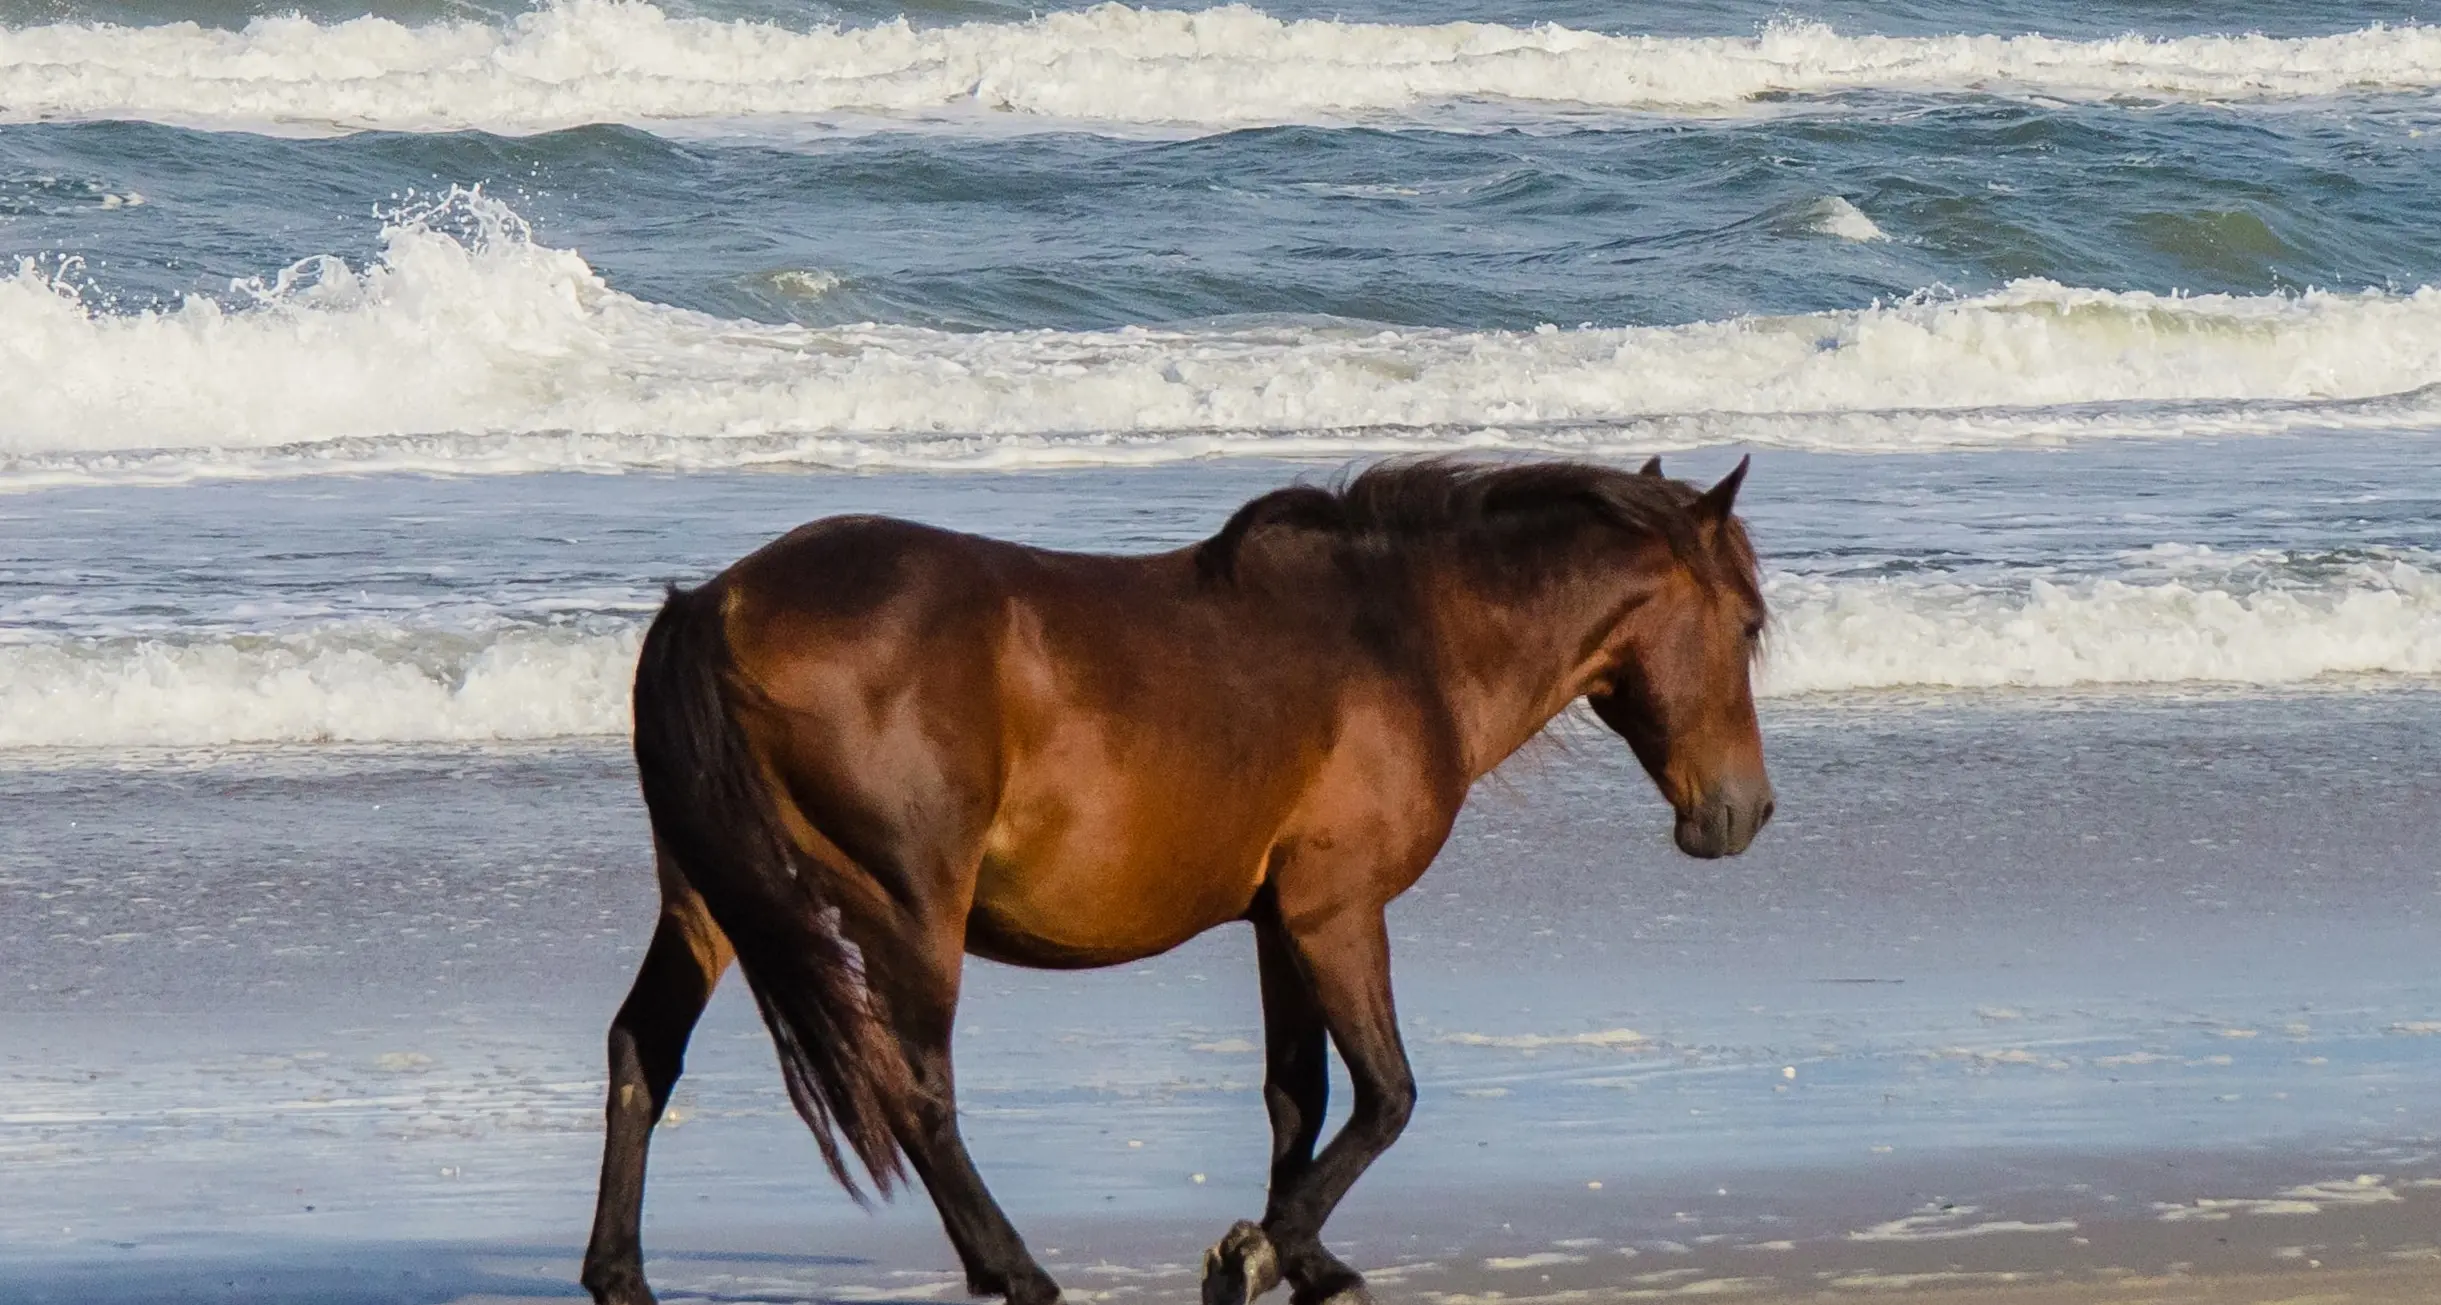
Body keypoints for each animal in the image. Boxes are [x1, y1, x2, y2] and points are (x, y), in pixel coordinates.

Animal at [580, 456, 1786, 1305]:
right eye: (1743, 624)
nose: (1742, 814)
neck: (1399, 641)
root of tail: (715, 604)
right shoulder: (1335, 910)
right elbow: (1385, 1096)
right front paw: (1256, 1257)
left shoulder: (1276, 921)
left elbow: (1297, 1098)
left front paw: (1304, 1260)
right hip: (905, 908)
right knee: (917, 1092)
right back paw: (1016, 1271)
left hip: (709, 899)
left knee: (643, 1050)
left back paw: (619, 1274)